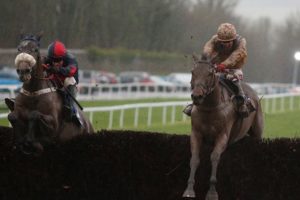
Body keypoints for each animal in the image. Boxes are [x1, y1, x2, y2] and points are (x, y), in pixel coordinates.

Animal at [183, 55, 262, 199]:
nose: (197, 96)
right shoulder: (196, 133)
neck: (209, 107)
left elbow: (214, 157)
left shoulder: (222, 135)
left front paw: (212, 192)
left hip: (258, 131)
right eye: (193, 72)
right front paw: (189, 190)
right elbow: (195, 158)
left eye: (210, 73)